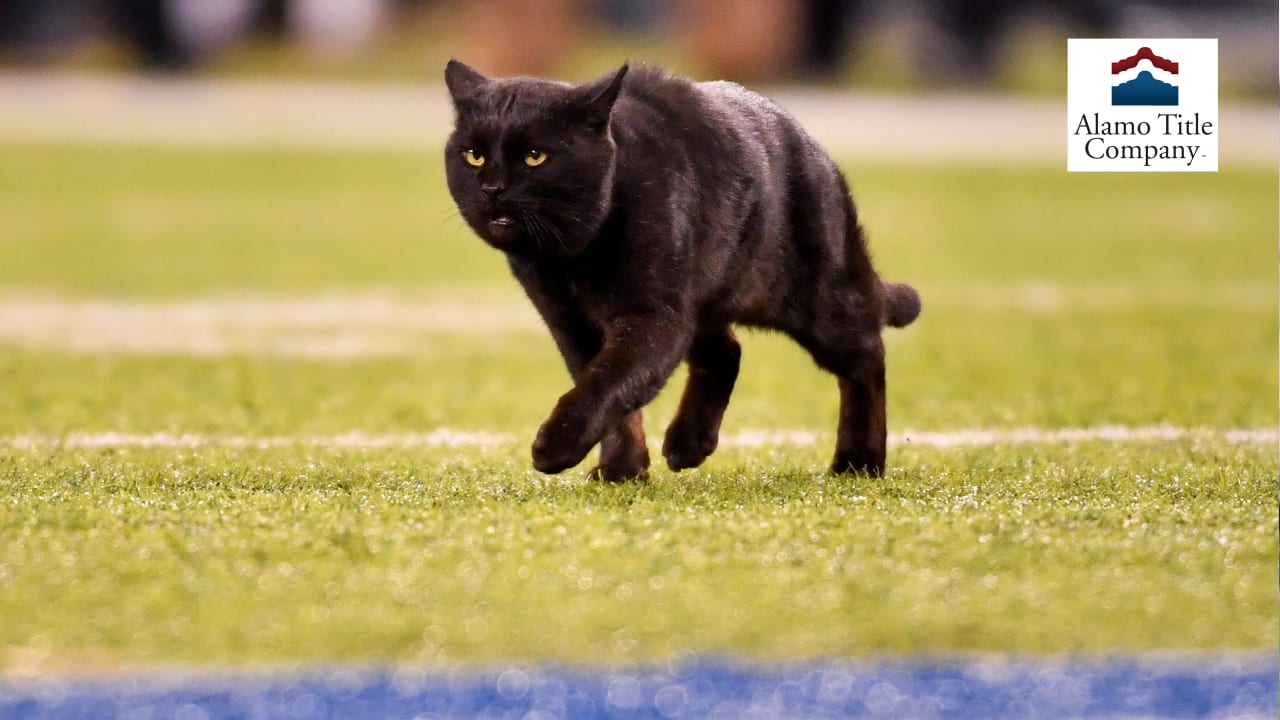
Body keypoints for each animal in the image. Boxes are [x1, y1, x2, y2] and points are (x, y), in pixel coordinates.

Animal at [445, 60, 916, 476]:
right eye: (473, 156)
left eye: (535, 157)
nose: (492, 188)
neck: (571, 258)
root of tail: (812, 145)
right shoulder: (571, 322)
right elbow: (610, 394)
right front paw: (622, 470)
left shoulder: (654, 316)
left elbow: (607, 383)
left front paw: (556, 447)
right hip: (707, 300)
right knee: (727, 353)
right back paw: (688, 445)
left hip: (820, 302)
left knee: (866, 357)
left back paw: (858, 463)